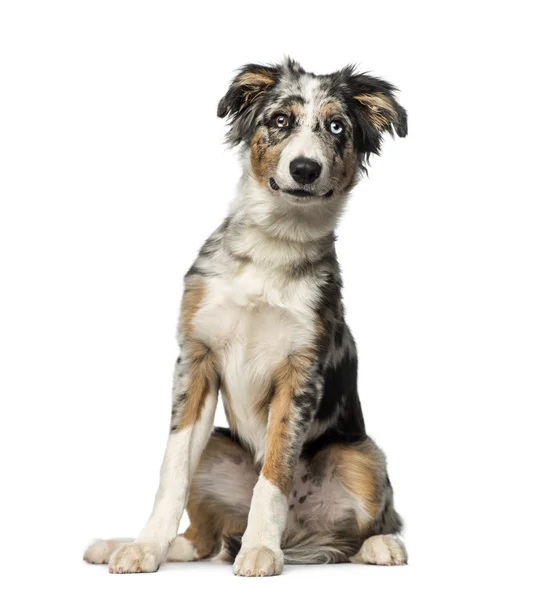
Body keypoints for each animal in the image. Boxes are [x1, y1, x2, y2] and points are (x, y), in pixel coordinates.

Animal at [84, 57, 408, 576]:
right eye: (280, 120)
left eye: (337, 127)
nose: (304, 168)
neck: (274, 246)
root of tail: (301, 532)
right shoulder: (195, 360)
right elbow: (171, 472)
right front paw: (145, 547)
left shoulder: (301, 376)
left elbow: (275, 471)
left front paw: (260, 548)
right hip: (216, 447)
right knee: (203, 539)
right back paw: (130, 544)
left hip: (363, 457)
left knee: (363, 529)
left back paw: (379, 546)